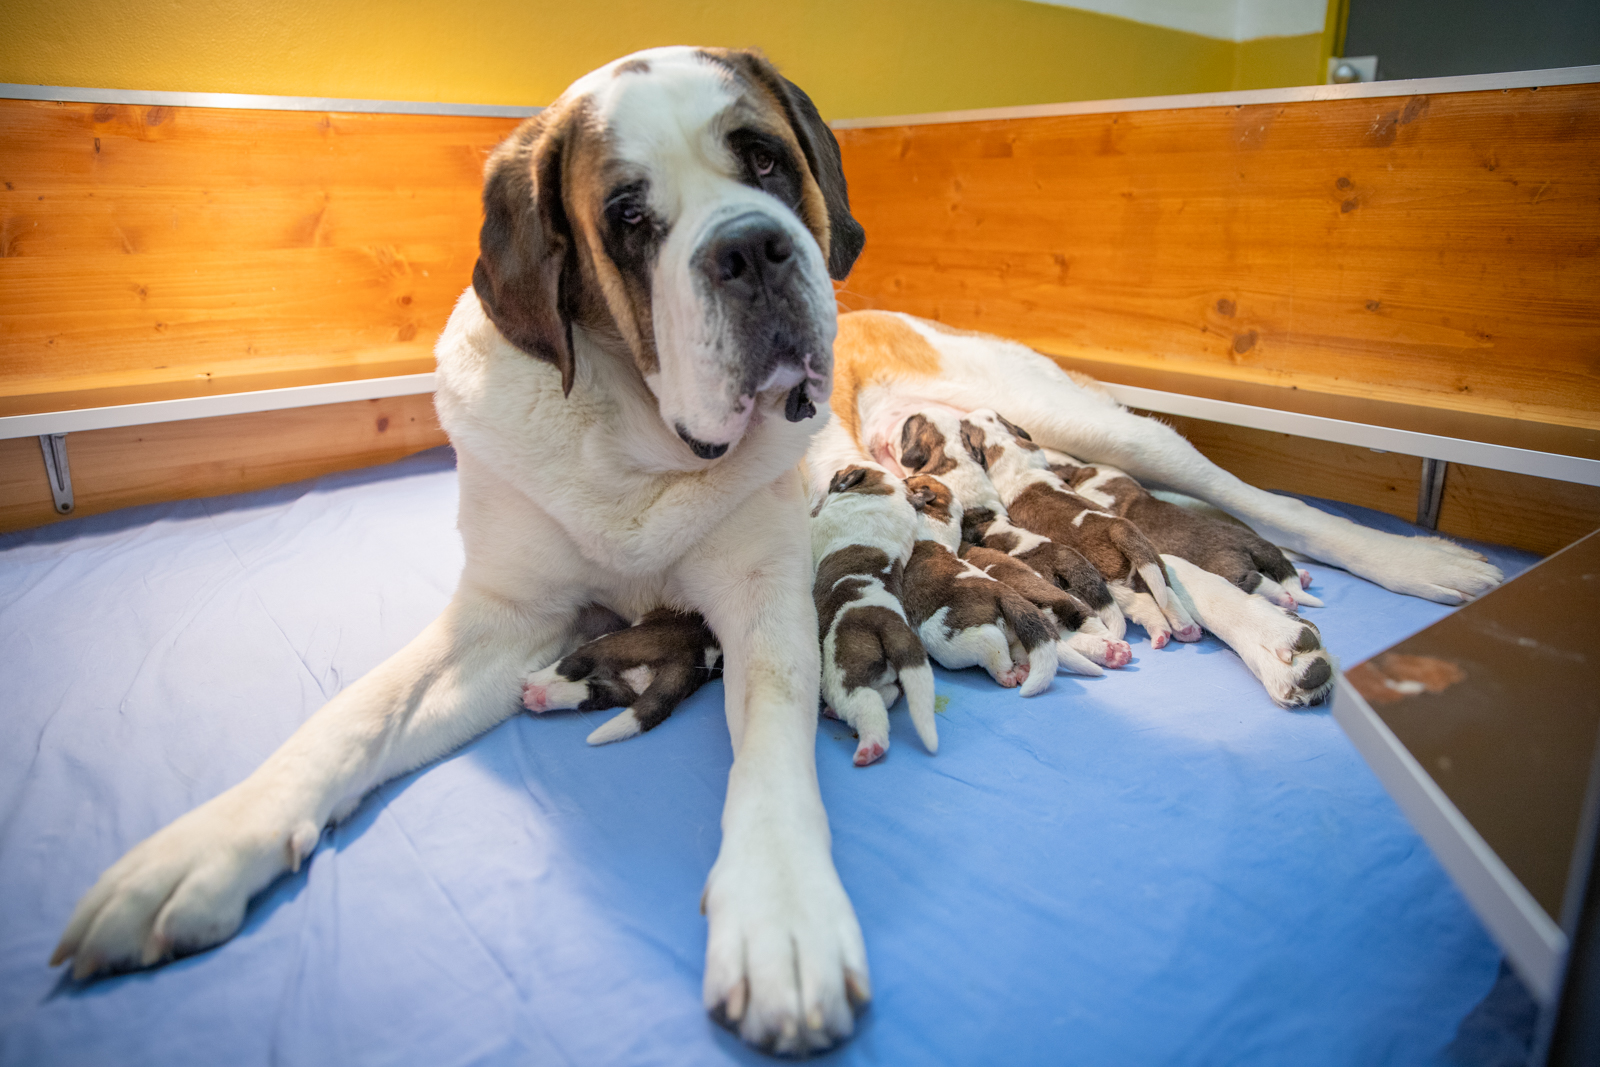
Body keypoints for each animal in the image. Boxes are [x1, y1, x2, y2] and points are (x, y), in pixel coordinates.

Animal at [521, 607, 723, 742]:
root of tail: (692, 658)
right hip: (628, 687)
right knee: (595, 693)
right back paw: (539, 697)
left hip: (621, 643)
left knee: (576, 661)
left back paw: (535, 679)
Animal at [812, 463, 934, 764]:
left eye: (842, 471)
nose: (833, 473)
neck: (882, 492)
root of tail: (888, 622)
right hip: (885, 673)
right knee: (890, 693)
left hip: (842, 671)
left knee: (865, 704)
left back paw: (870, 747)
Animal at [902, 476, 1062, 694]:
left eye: (909, 479)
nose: (903, 477)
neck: (939, 514)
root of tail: (1004, 594)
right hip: (1015, 634)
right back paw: (1023, 669)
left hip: (960, 638)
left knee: (994, 648)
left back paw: (1007, 676)